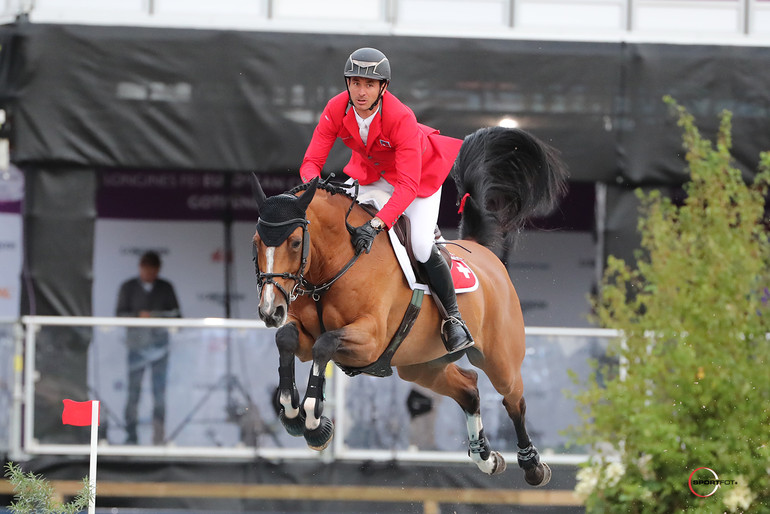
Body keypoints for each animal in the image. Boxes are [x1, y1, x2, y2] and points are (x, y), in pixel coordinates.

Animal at [250, 125, 564, 484]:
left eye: (295, 242)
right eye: (256, 243)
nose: (270, 310)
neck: (333, 263)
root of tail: (484, 252)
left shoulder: (370, 340)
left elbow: (324, 345)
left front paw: (316, 423)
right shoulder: (305, 334)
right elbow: (287, 339)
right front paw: (292, 413)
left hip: (500, 359)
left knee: (514, 400)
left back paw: (532, 465)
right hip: (421, 366)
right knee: (469, 388)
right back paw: (486, 457)